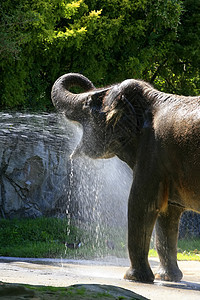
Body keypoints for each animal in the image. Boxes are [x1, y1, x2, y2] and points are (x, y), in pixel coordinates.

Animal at [52, 72, 200, 284]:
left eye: (88, 103)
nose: (89, 86)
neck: (150, 100)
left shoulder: (152, 153)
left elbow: (141, 204)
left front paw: (133, 278)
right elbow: (168, 212)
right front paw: (167, 278)